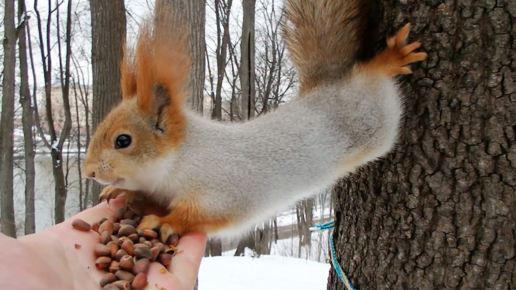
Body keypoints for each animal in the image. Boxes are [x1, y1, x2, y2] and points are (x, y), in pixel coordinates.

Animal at [82, 0, 426, 241]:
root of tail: (331, 86)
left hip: (373, 117)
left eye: (123, 141)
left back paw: (389, 60)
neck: (180, 160)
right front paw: (122, 194)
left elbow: (202, 215)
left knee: (374, 79)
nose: (89, 173)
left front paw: (163, 222)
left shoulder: (224, 191)